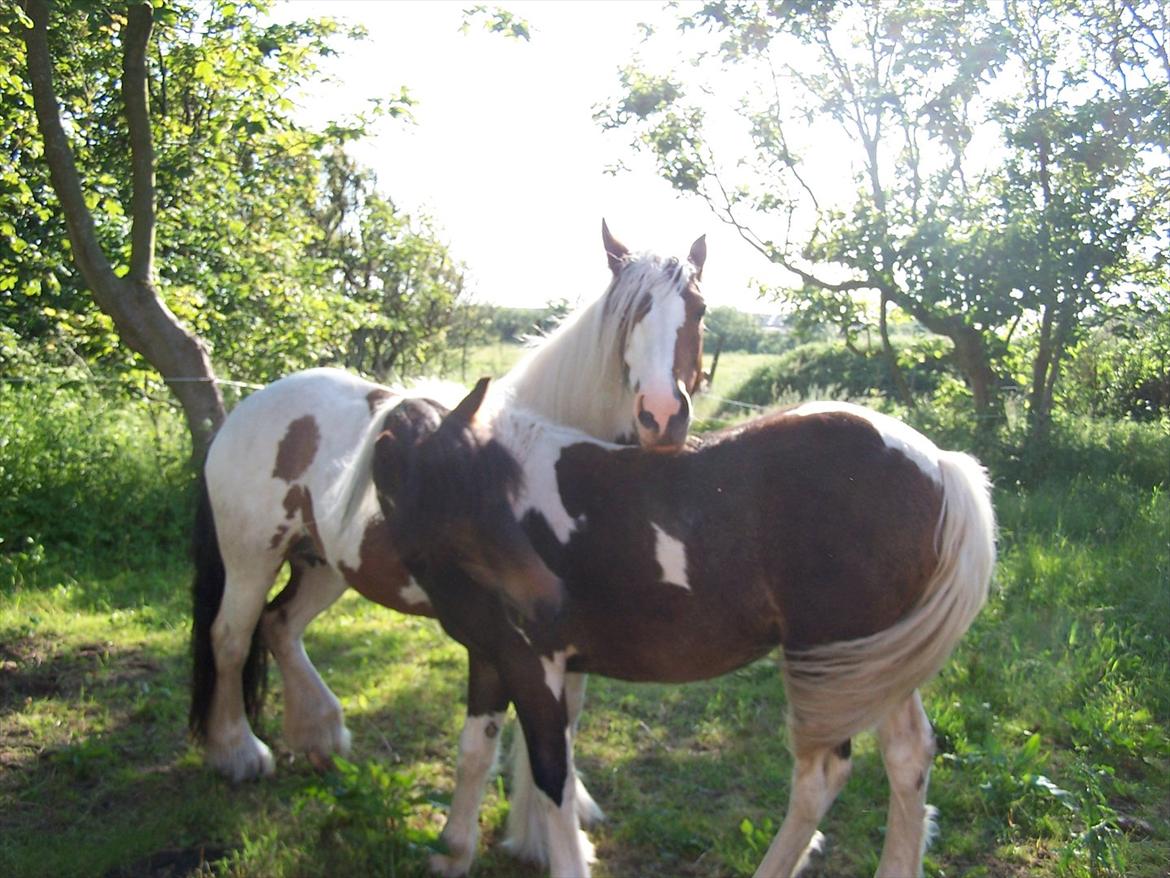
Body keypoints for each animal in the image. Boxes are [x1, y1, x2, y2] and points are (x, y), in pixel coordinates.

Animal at [188, 223, 706, 861]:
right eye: (630, 314)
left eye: (698, 310)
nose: (661, 416)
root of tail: (249, 407)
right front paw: (534, 836)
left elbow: (564, 725)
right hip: (250, 558)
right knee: (231, 638)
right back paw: (238, 752)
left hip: (326, 564)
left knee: (280, 625)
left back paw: (321, 733)